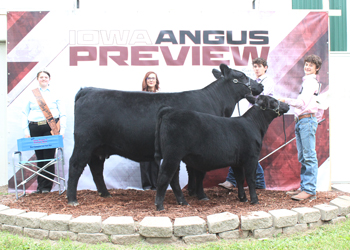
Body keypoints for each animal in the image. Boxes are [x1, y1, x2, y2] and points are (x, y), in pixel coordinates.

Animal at [67, 64, 262, 205]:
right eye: (241, 76)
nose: (260, 85)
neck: (217, 104)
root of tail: (87, 90)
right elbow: (199, 173)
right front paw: (200, 195)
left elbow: (192, 172)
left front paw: (191, 192)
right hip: (85, 141)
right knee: (75, 165)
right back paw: (72, 199)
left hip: (99, 147)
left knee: (96, 168)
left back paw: (105, 193)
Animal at [155, 94, 290, 210]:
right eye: (273, 100)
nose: (288, 105)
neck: (254, 124)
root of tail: (170, 110)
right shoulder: (251, 157)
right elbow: (250, 178)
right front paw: (254, 200)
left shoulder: (237, 162)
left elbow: (240, 178)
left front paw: (243, 198)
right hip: (172, 154)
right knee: (164, 176)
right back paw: (160, 205)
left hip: (174, 156)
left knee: (173, 178)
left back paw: (182, 201)